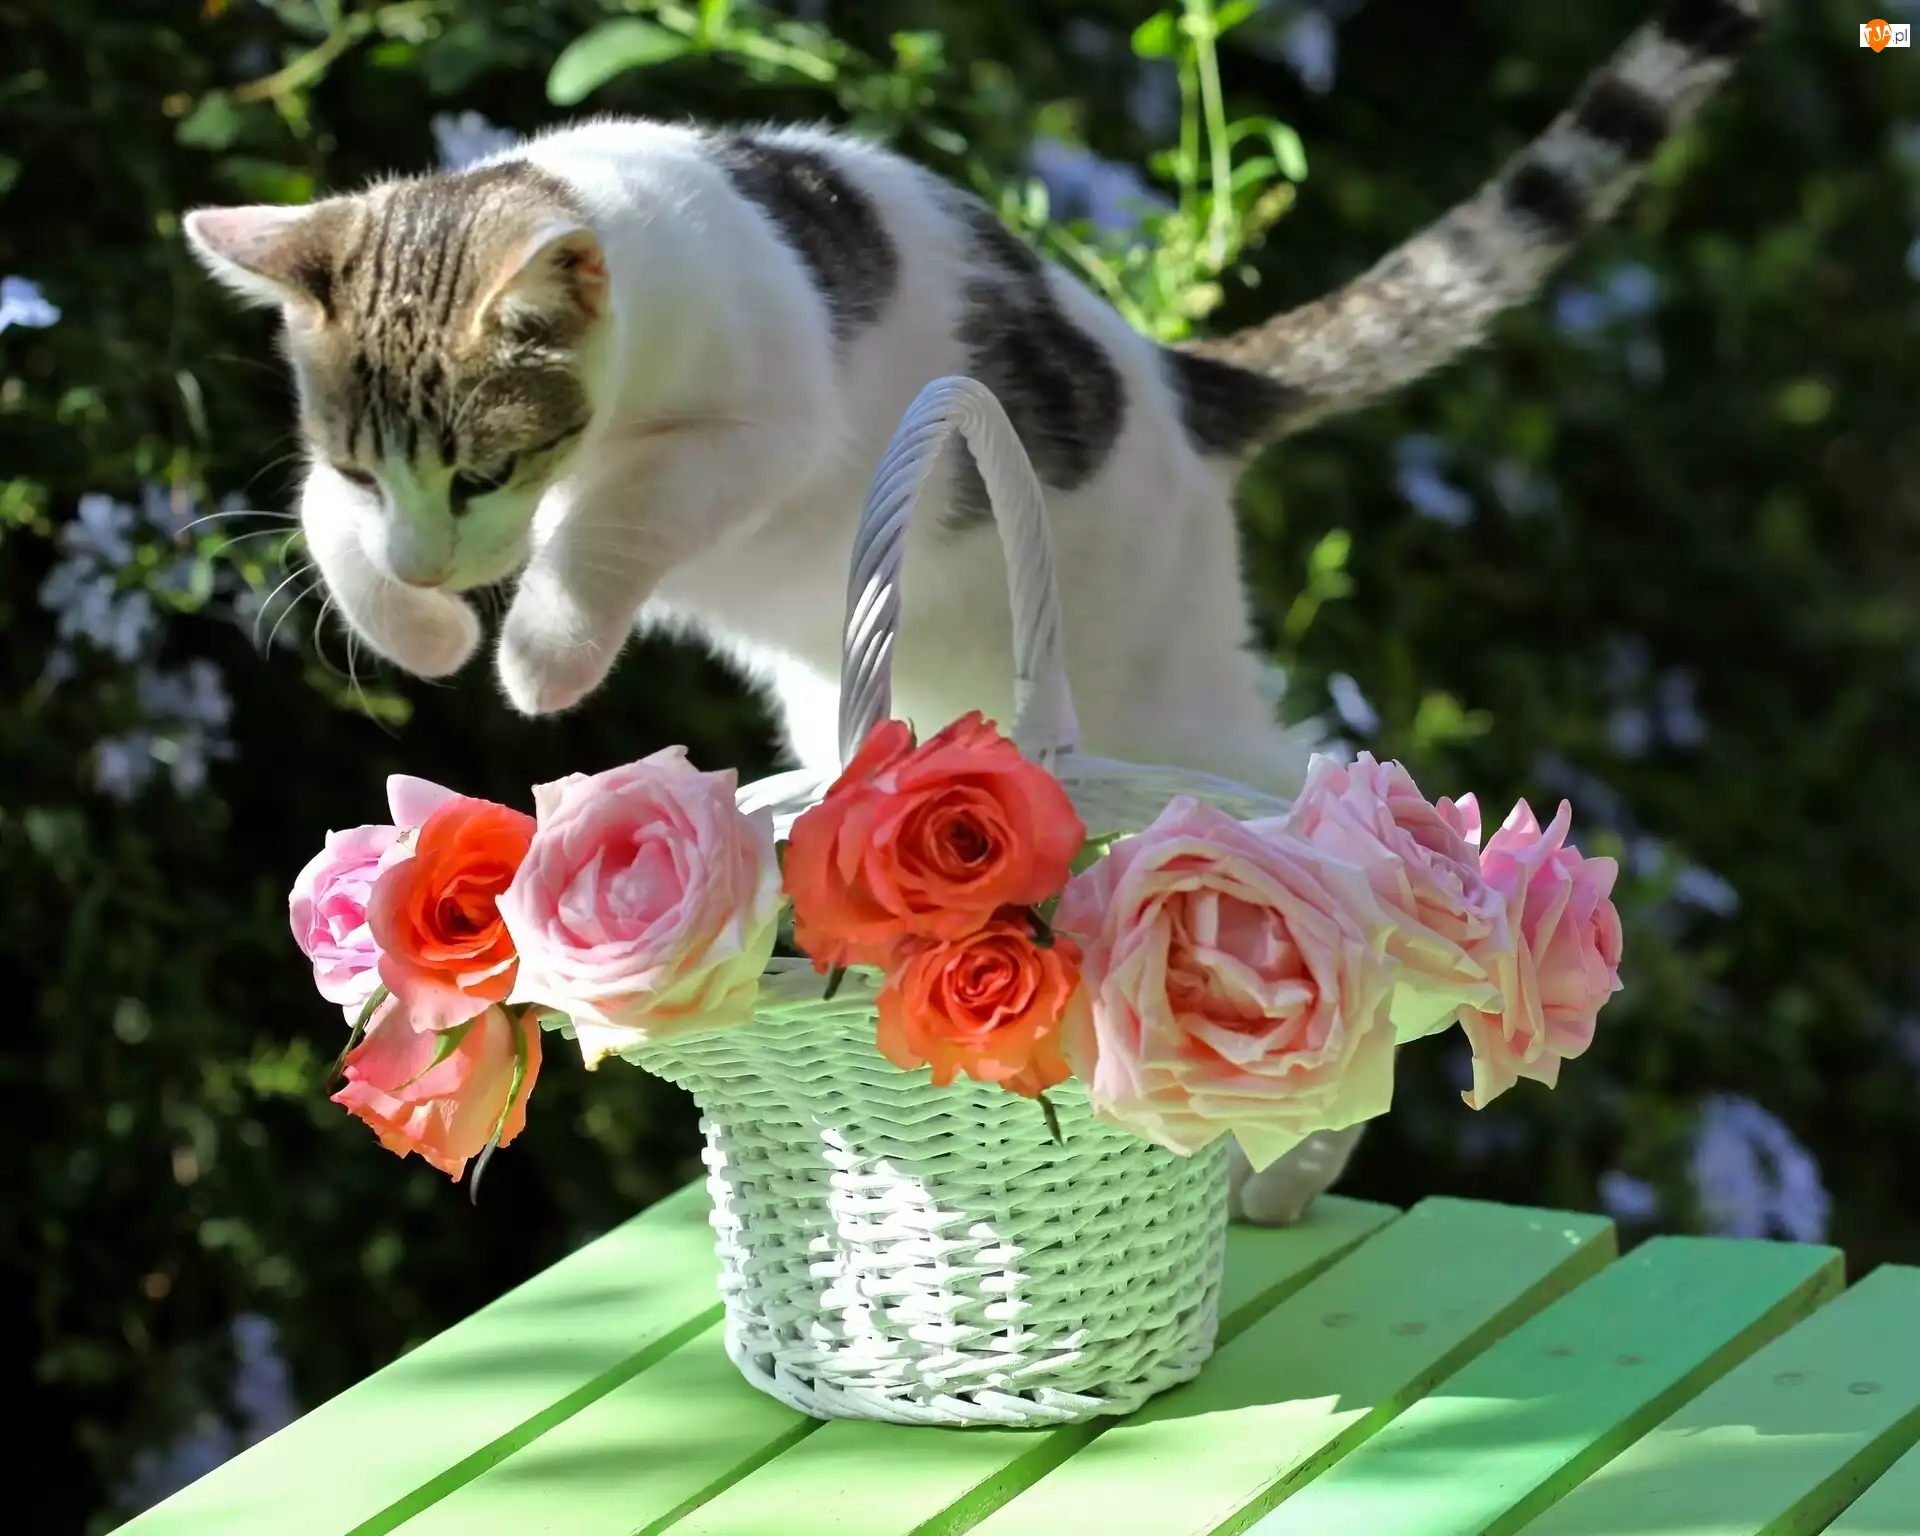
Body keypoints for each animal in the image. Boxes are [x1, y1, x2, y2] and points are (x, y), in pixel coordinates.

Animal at [185, 0, 1771, 1223]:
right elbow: (324, 531)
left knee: (1321, 817)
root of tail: (1180, 380)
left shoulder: (756, 433)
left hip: (1161, 685)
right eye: (367, 461)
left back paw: (1306, 1139)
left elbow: (616, 520)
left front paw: (539, 650)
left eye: (484, 467)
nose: (441, 564)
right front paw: (416, 622)